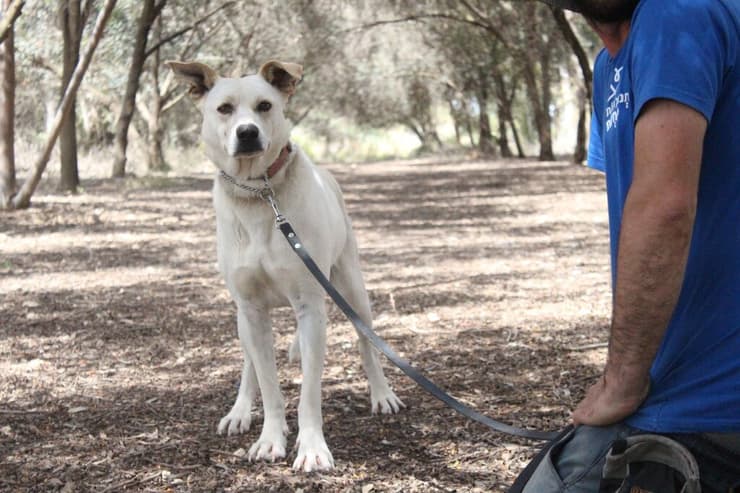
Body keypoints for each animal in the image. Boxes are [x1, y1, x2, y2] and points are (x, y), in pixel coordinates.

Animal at [167, 59, 402, 470]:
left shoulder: (310, 305)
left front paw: (312, 448)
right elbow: (268, 383)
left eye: (265, 106)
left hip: (351, 288)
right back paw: (240, 410)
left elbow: (310, 391)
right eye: (224, 108)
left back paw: (381, 394)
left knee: (366, 343)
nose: (247, 133)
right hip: (244, 317)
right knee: (249, 363)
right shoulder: (251, 309)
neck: (259, 193)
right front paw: (269, 438)